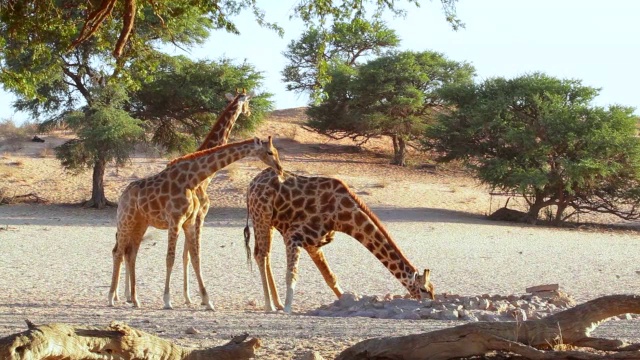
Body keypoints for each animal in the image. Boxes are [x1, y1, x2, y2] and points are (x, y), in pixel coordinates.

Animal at [110, 138, 282, 310]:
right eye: (270, 152)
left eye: (276, 152)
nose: (280, 169)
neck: (191, 180)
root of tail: (123, 194)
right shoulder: (175, 220)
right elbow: (170, 258)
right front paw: (167, 300)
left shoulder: (190, 222)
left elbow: (195, 257)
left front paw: (208, 301)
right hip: (126, 219)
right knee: (118, 252)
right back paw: (111, 297)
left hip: (141, 223)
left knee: (131, 254)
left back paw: (135, 299)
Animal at [245, 168, 436, 312]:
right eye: (423, 289)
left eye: (433, 290)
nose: (430, 303)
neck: (342, 216)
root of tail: (252, 183)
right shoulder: (294, 236)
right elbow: (291, 274)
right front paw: (287, 309)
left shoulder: (313, 243)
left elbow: (330, 277)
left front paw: (345, 301)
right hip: (261, 215)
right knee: (261, 255)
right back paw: (270, 306)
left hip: (269, 222)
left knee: (266, 255)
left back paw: (276, 303)